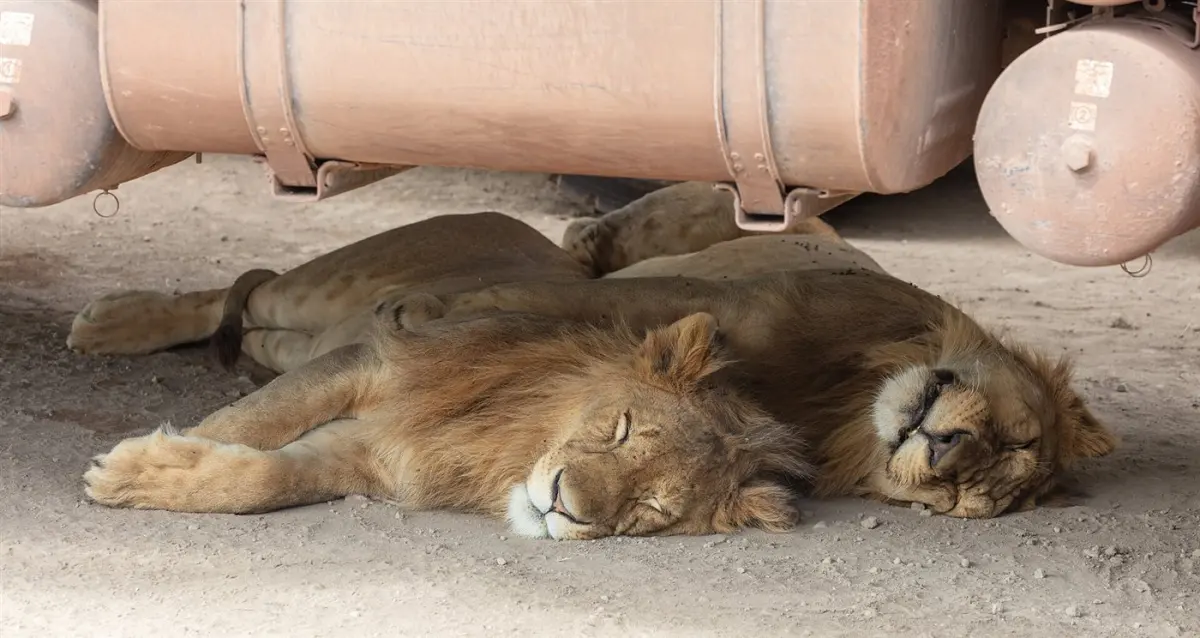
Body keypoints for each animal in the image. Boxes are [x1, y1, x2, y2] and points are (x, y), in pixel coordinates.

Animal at [83, 309, 811, 540]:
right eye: (622, 430)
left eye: (649, 509)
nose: (561, 506)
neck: (503, 450)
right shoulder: (369, 365)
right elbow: (250, 417)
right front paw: (138, 464)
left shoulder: (368, 456)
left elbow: (263, 480)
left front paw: (153, 471)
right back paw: (105, 323)